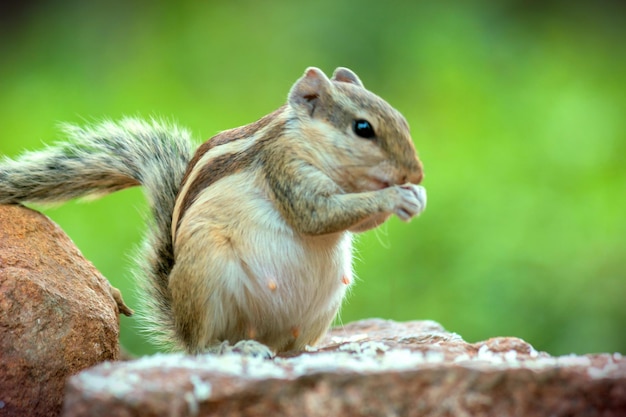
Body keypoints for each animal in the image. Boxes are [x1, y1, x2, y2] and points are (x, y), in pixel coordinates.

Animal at [0, 67, 424, 354]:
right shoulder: (285, 170)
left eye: (403, 120)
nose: (417, 173)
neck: (303, 139)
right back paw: (233, 348)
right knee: (204, 345)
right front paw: (396, 196)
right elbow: (316, 214)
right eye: (363, 128)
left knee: (287, 350)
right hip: (207, 271)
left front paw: (415, 196)